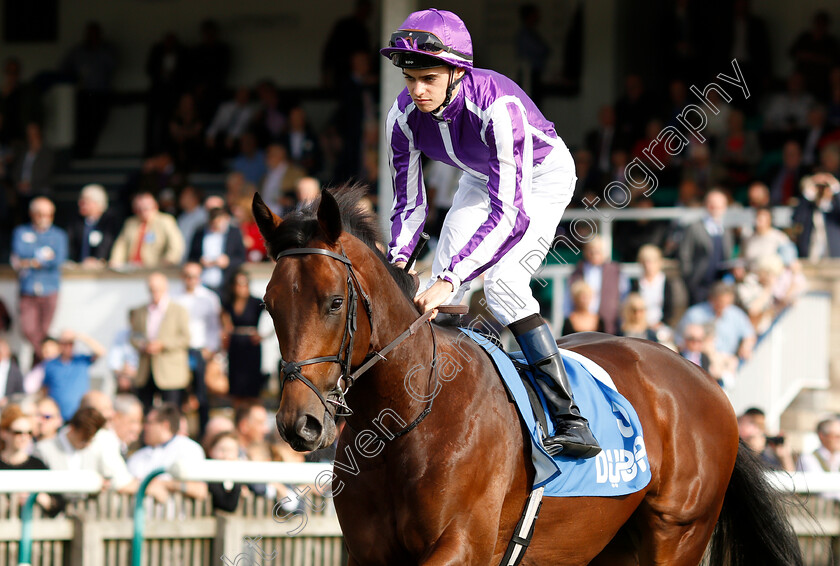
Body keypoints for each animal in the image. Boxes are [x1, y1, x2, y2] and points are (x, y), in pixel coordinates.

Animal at [253, 187, 804, 566]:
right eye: (269, 306)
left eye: (334, 302)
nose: (298, 424)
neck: (405, 421)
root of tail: (703, 378)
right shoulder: (370, 553)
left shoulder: (462, 545)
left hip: (678, 533)